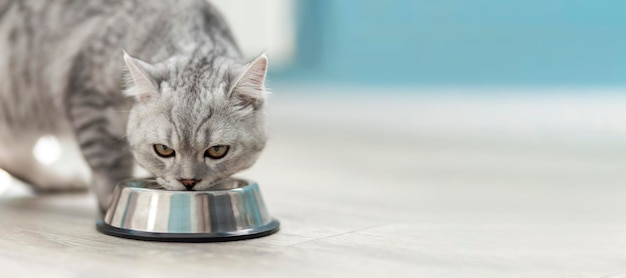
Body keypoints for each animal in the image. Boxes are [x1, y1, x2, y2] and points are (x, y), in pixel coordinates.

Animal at [0, 0, 266, 212]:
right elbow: (109, 162)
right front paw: (110, 200)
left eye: (217, 151)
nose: (188, 182)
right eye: (163, 149)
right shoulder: (88, 101)